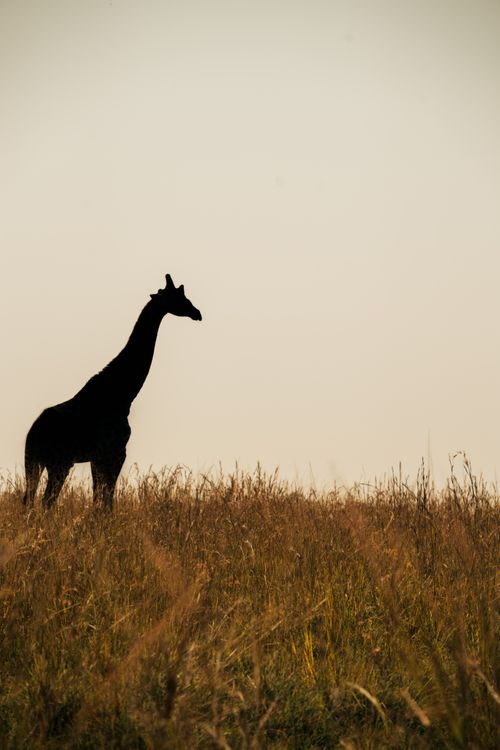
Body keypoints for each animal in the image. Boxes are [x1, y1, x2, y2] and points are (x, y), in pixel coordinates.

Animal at [23, 274, 202, 510]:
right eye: (179, 297)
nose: (197, 313)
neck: (122, 393)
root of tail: (33, 433)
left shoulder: (98, 457)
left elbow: (99, 499)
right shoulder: (115, 452)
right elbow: (107, 502)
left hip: (35, 461)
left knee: (29, 500)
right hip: (58, 462)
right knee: (46, 501)